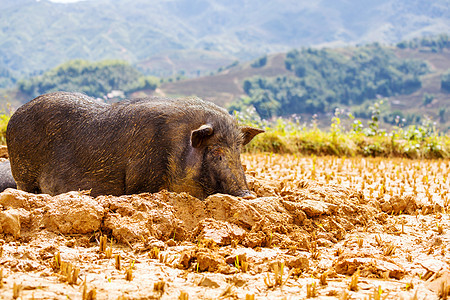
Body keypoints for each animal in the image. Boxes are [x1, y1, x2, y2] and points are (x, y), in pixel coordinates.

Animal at [6, 91, 264, 199]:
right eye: (216, 152)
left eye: (238, 152)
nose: (248, 195)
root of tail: (13, 116)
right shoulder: (141, 179)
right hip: (24, 175)